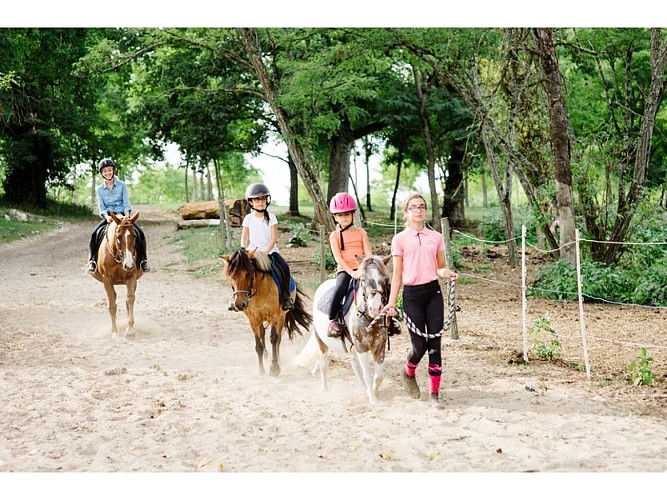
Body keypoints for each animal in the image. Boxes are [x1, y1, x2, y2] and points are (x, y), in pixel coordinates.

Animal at [90, 211, 144, 340]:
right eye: (118, 237)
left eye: (135, 236)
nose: (129, 264)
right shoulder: (107, 280)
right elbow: (112, 306)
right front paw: (114, 333)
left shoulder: (131, 277)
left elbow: (130, 299)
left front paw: (130, 331)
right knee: (113, 299)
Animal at [220, 247, 312, 376]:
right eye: (231, 275)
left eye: (247, 273)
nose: (240, 304)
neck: (259, 290)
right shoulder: (253, 320)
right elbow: (258, 345)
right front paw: (261, 370)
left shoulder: (275, 316)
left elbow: (273, 338)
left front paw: (274, 368)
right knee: (262, 333)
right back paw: (266, 355)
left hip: (282, 317)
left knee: (278, 339)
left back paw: (277, 359)